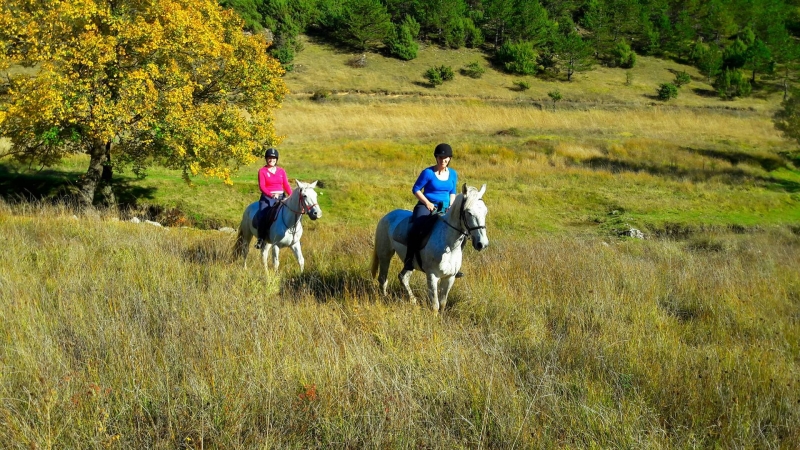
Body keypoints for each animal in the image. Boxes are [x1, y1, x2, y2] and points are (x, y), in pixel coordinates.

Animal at [374, 183, 490, 312]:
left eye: (485, 211)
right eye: (468, 212)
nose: (482, 244)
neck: (448, 244)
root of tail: (387, 215)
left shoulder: (450, 277)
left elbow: (443, 303)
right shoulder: (432, 276)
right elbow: (435, 305)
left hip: (410, 263)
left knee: (403, 277)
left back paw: (412, 300)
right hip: (385, 255)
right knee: (383, 278)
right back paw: (384, 299)